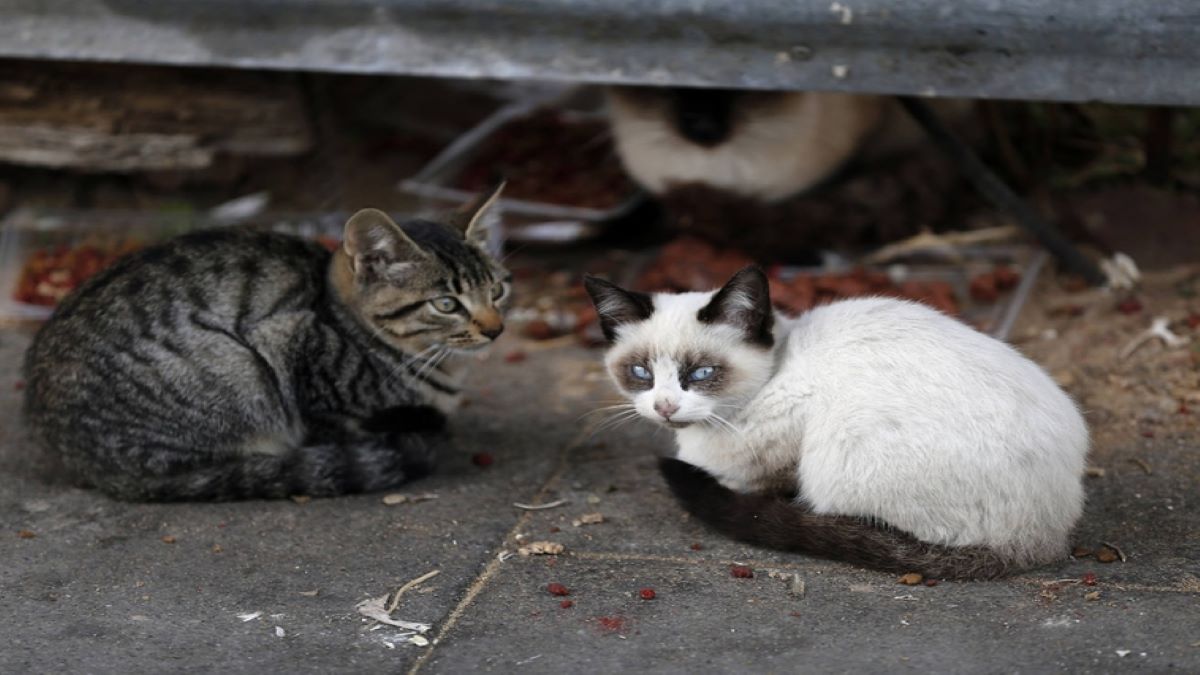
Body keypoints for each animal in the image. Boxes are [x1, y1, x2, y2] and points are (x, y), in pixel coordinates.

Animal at [585, 265, 1094, 576]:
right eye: (640, 373)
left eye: (702, 374)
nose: (665, 407)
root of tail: (1045, 539)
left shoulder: (778, 458)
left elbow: (757, 485)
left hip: (839, 452)